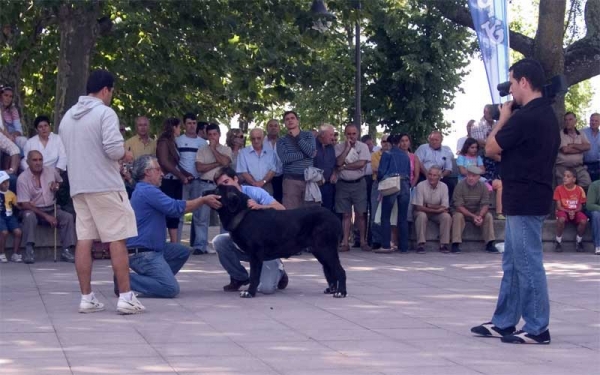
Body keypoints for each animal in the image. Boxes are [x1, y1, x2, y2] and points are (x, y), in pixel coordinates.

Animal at [213, 186, 350, 300]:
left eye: (217, 189)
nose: (207, 192)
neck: (243, 214)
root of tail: (335, 218)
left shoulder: (255, 255)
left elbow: (254, 276)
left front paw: (250, 292)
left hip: (326, 249)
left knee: (340, 271)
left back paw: (341, 292)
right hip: (320, 251)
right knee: (330, 270)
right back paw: (332, 290)